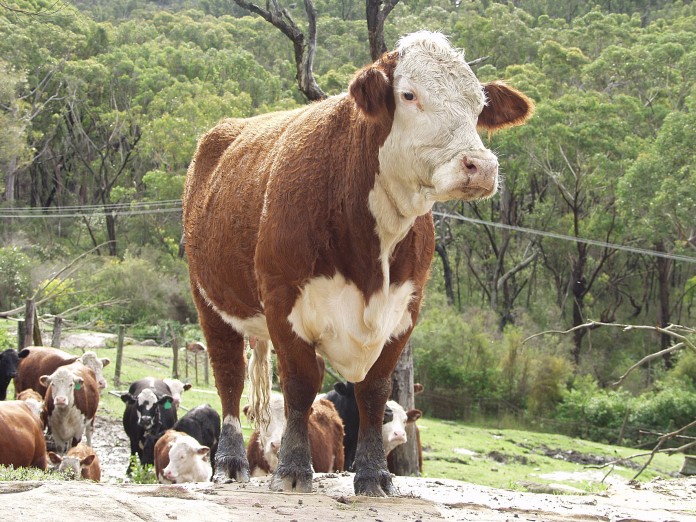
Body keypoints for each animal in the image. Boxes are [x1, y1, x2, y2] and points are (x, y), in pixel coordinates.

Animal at [182, 30, 533, 495]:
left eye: (479, 105)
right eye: (409, 95)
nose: (481, 166)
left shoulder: (404, 311)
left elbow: (374, 391)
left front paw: (373, 473)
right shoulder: (282, 299)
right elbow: (300, 384)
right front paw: (293, 468)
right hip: (209, 299)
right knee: (229, 377)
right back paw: (230, 461)